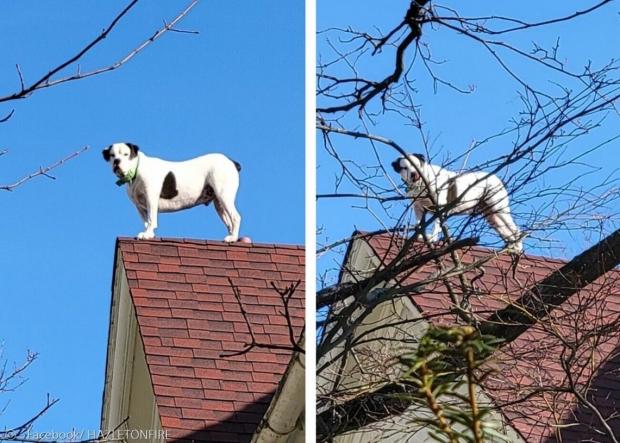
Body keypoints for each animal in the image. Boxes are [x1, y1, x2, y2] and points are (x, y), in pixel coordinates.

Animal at [103, 143, 241, 243]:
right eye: (112, 155)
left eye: (126, 154)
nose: (117, 161)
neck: (137, 169)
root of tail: (232, 162)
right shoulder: (139, 206)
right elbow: (146, 221)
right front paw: (149, 233)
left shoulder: (151, 198)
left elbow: (151, 218)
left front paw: (147, 234)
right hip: (219, 203)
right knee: (229, 223)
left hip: (224, 195)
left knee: (235, 217)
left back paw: (233, 238)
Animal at [392, 154, 524, 253]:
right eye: (405, 168)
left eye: (416, 164)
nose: (414, 174)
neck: (422, 184)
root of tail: (497, 179)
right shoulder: (418, 208)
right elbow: (419, 225)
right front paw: (420, 236)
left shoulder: (439, 208)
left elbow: (436, 225)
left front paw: (433, 238)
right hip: (491, 216)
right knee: (506, 232)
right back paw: (512, 247)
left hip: (498, 206)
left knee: (515, 229)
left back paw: (518, 245)